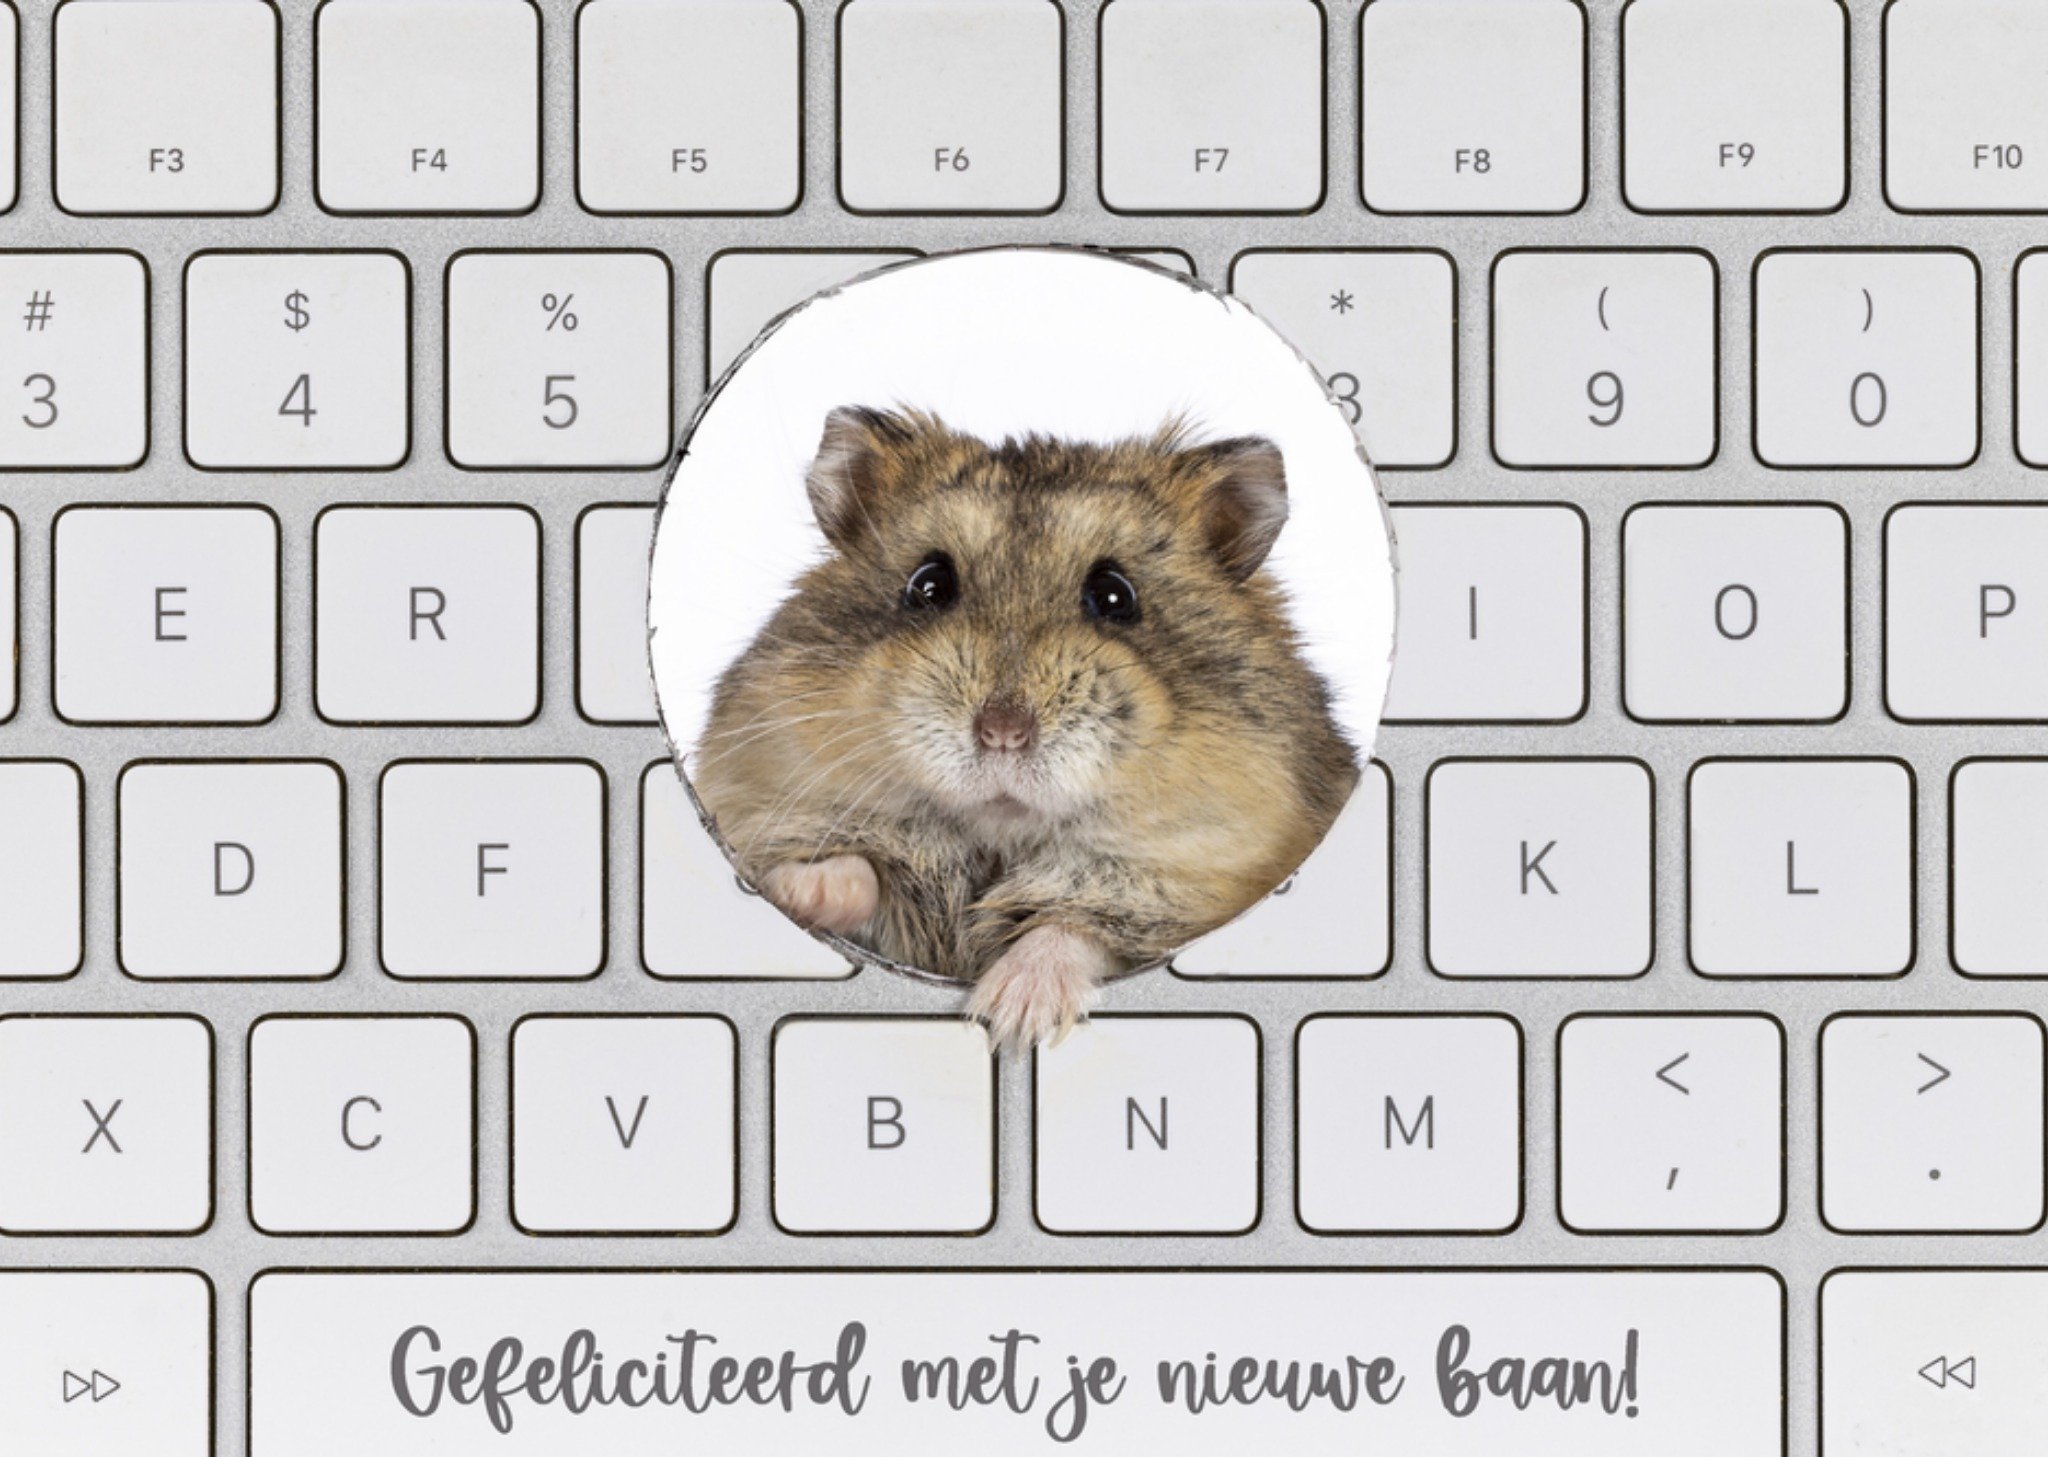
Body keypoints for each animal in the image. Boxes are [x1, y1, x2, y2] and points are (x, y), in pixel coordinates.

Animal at [691, 406, 1360, 1048]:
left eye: (1116, 596)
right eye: (927, 585)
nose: (1003, 734)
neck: (1000, 846)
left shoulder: (1184, 898)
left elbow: (1070, 927)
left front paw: (1010, 1014)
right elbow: (854, 868)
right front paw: (801, 896)